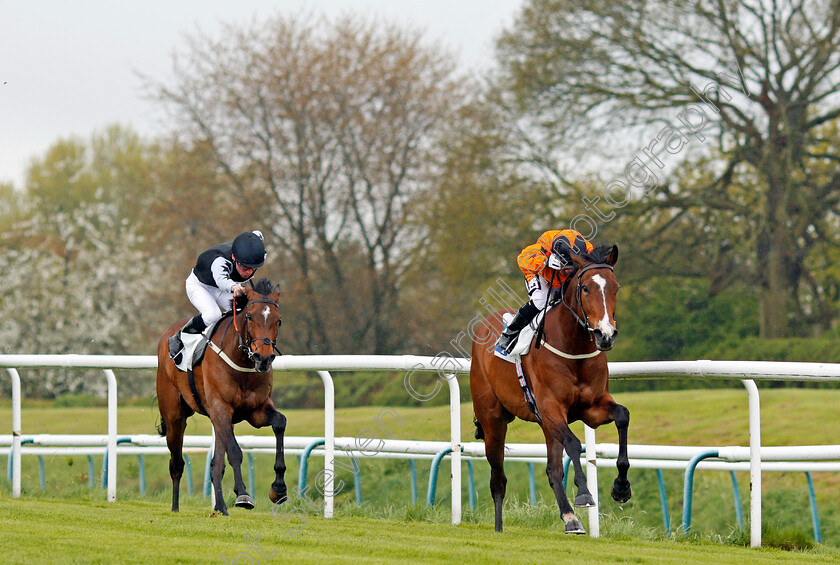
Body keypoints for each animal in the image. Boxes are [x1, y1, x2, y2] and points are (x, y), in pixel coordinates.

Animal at [156, 278, 288, 516]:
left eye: (278, 320)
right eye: (249, 316)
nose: (263, 358)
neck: (241, 362)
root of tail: (166, 336)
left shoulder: (255, 410)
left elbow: (280, 423)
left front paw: (279, 489)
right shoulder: (221, 407)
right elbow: (235, 452)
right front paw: (243, 494)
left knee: (215, 463)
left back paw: (219, 506)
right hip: (174, 416)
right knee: (177, 463)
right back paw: (175, 507)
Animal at [470, 243, 628, 532]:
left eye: (616, 287)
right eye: (585, 287)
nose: (606, 335)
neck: (573, 348)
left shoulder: (592, 407)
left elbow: (623, 415)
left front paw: (621, 487)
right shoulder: (552, 408)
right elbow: (574, 444)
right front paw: (584, 494)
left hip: (544, 425)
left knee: (553, 470)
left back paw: (570, 518)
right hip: (492, 420)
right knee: (498, 478)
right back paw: (498, 528)